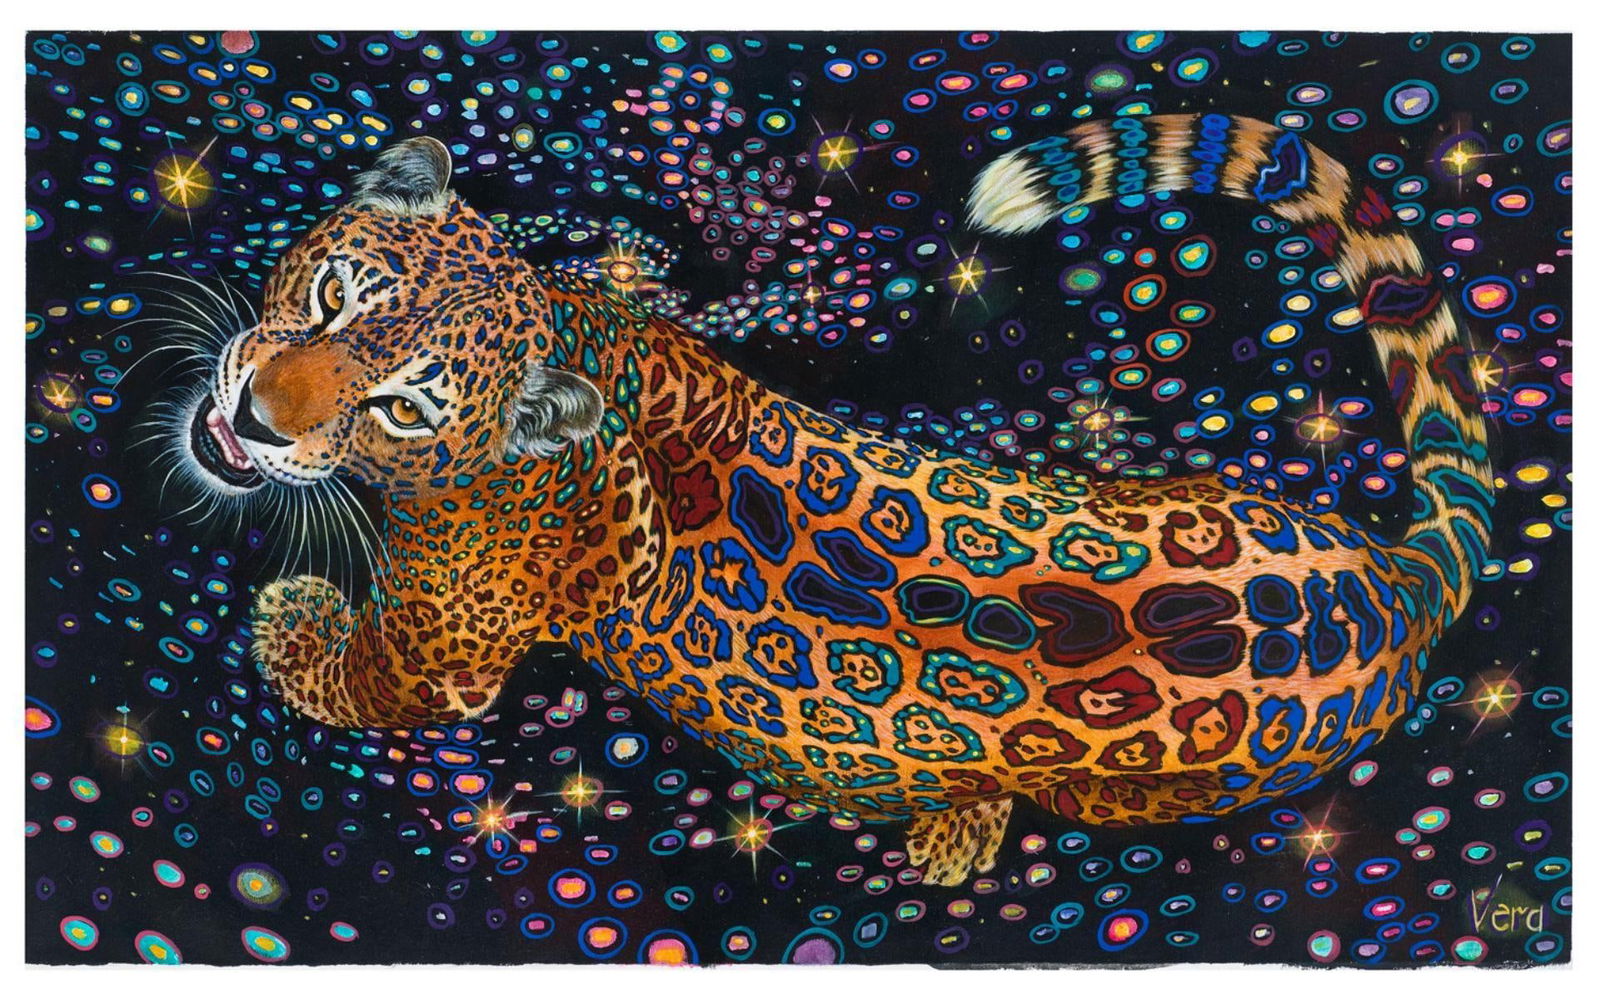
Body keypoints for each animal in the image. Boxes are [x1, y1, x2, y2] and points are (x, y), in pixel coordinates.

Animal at [170, 116, 1493, 886]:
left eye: (402, 408)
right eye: (331, 295)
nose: (254, 419)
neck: (581, 351)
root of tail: (1397, 579)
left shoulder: (444, 647)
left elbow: (361, 676)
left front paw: (288, 619)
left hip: (1126, 791)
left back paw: (951, 834)